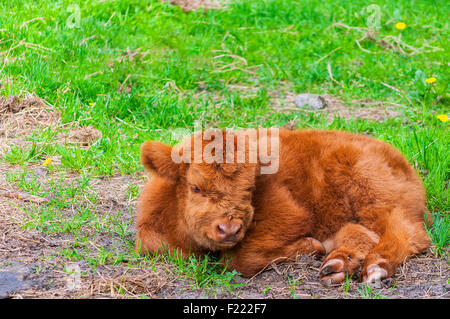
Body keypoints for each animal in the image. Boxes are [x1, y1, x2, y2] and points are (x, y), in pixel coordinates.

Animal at [136, 129, 432, 286]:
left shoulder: (291, 215)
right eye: (195, 187)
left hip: (375, 194)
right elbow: (155, 245)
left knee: (407, 232)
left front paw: (309, 245)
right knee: (363, 232)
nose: (229, 229)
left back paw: (375, 268)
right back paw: (337, 264)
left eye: (249, 189)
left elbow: (240, 259)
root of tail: (399, 159)